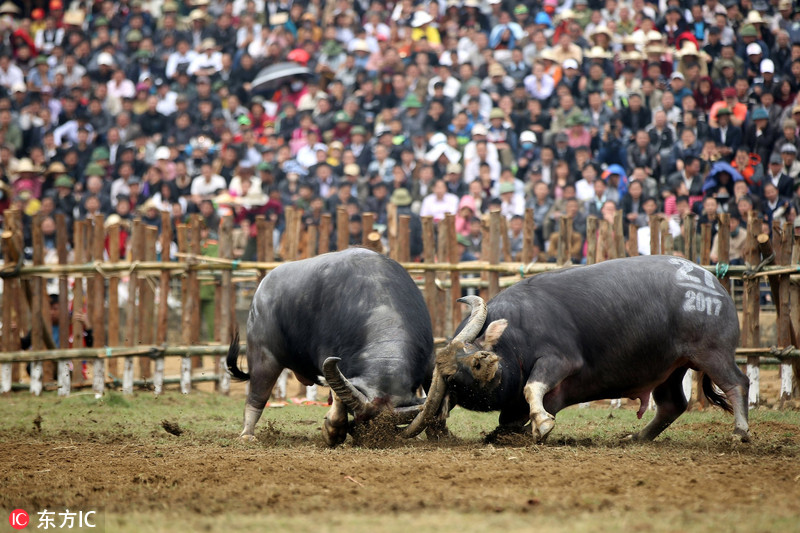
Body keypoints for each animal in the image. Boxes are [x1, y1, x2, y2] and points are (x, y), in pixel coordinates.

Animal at [225, 248, 434, 444]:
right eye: (359, 416)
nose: (363, 436)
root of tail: (262, 287)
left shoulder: (430, 363)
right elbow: (337, 397)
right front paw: (333, 431)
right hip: (263, 356)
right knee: (256, 398)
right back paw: (247, 435)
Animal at [406, 254, 752, 440]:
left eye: (471, 348)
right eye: (452, 378)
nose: (483, 362)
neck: (516, 337)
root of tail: (712, 282)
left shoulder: (561, 360)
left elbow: (533, 387)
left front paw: (542, 423)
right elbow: (511, 418)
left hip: (711, 351)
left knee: (737, 382)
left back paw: (739, 432)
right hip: (670, 368)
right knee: (672, 405)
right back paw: (636, 437)